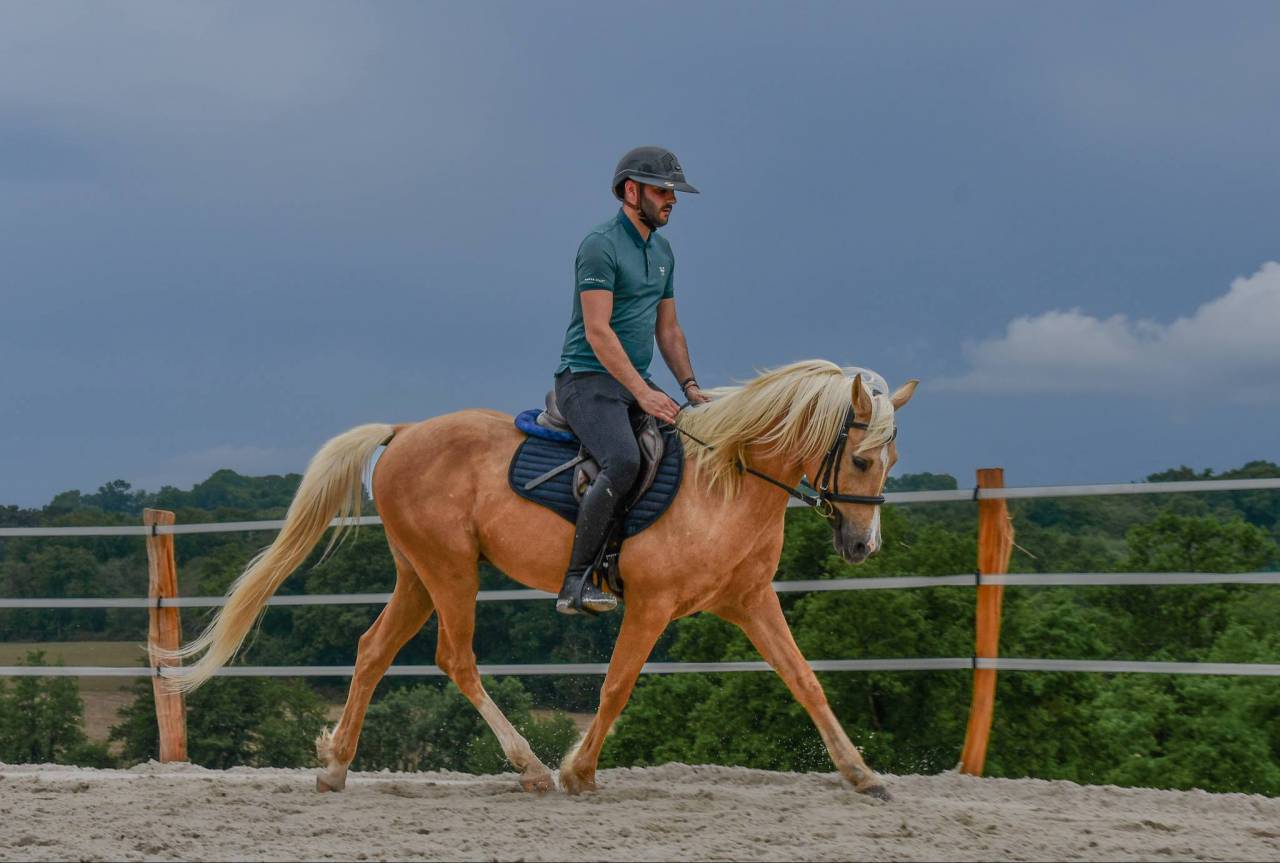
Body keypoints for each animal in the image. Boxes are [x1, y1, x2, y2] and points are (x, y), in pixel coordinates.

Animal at [162, 359, 917, 800]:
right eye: (859, 458)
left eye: (891, 459)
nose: (862, 545)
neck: (723, 481)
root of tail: (404, 431)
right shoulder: (652, 606)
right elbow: (616, 687)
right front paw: (578, 770)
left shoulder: (752, 601)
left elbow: (805, 680)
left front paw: (862, 773)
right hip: (450, 570)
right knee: (455, 657)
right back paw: (527, 766)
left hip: (418, 574)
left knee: (374, 650)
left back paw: (334, 766)